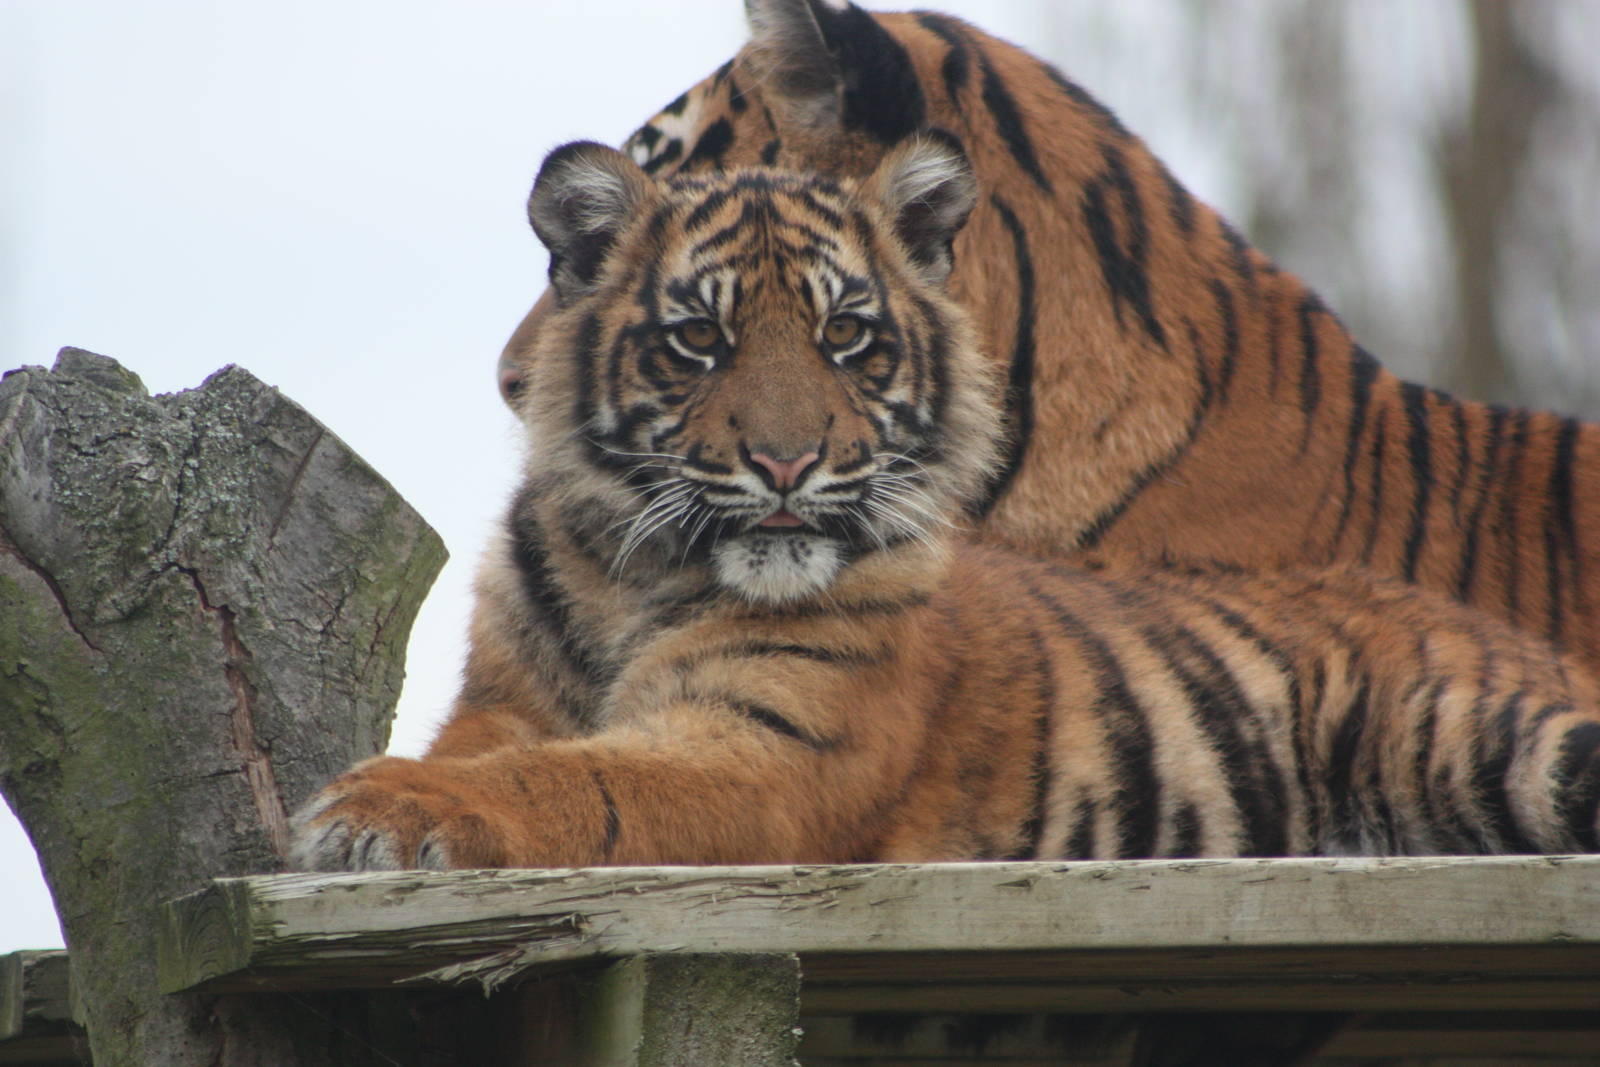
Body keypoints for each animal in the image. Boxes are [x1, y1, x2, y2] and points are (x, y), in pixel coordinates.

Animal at [290, 136, 1600, 872]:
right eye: (701, 340)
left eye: (846, 335)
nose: (785, 463)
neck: (632, 572)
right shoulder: (503, 701)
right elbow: (505, 755)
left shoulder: (768, 750)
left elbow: (575, 783)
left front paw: (375, 806)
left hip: (1507, 736)